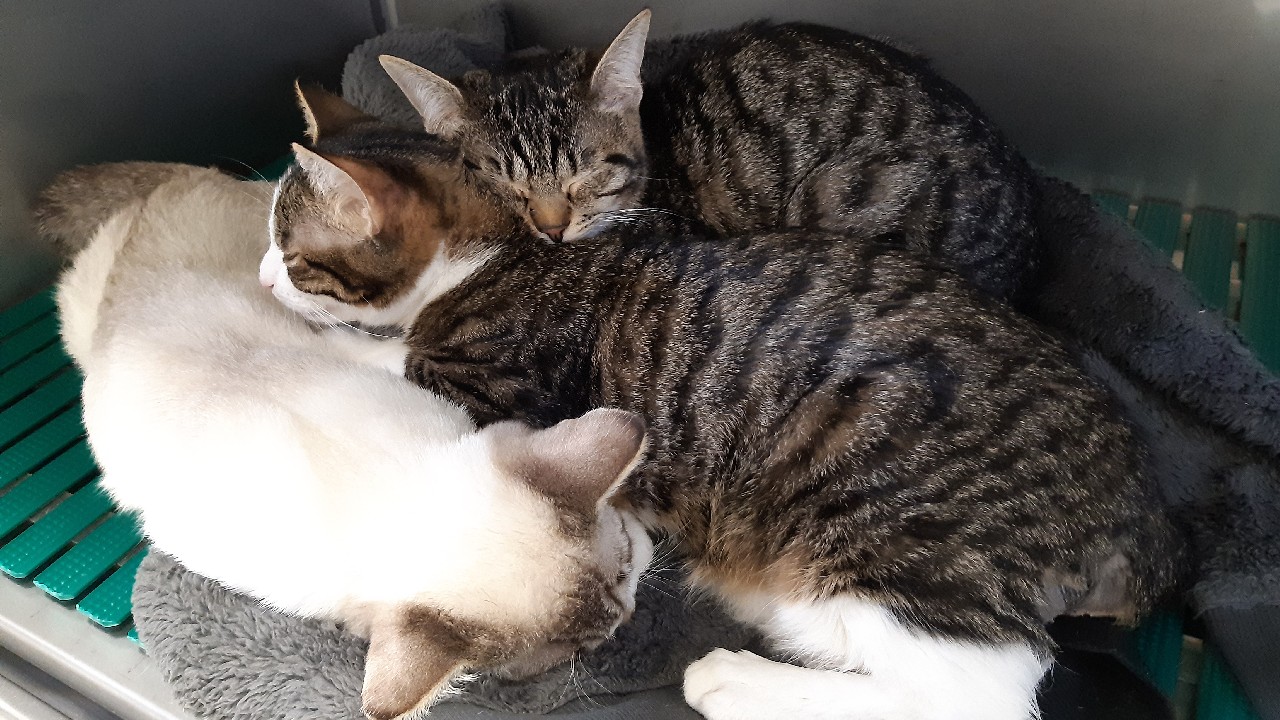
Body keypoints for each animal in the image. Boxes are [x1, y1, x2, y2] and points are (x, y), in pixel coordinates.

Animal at [261, 96, 1183, 720]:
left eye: (293, 253)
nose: (264, 277)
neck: (500, 247)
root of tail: (1141, 512)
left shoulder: (492, 392)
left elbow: (391, 354)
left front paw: (321, 332)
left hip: (891, 546)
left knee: (977, 695)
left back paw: (738, 678)